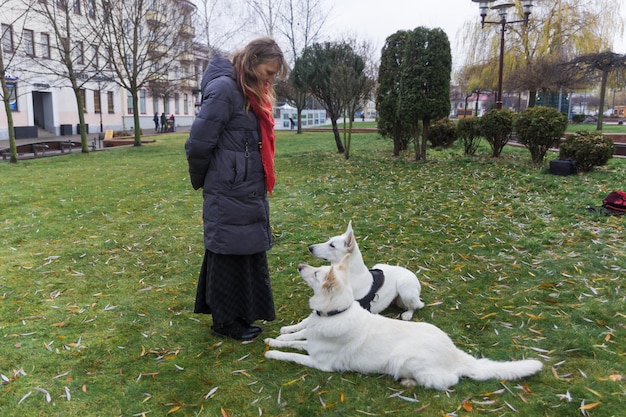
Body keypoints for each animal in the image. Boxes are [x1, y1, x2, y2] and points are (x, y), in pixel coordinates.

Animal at [264, 254, 540, 390]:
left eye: (316, 273)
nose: (300, 265)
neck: (336, 313)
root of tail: (457, 355)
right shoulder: (312, 341)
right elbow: (292, 340)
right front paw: (273, 339)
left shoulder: (321, 364)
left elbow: (291, 355)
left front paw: (271, 353)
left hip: (406, 359)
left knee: (449, 381)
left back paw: (408, 382)